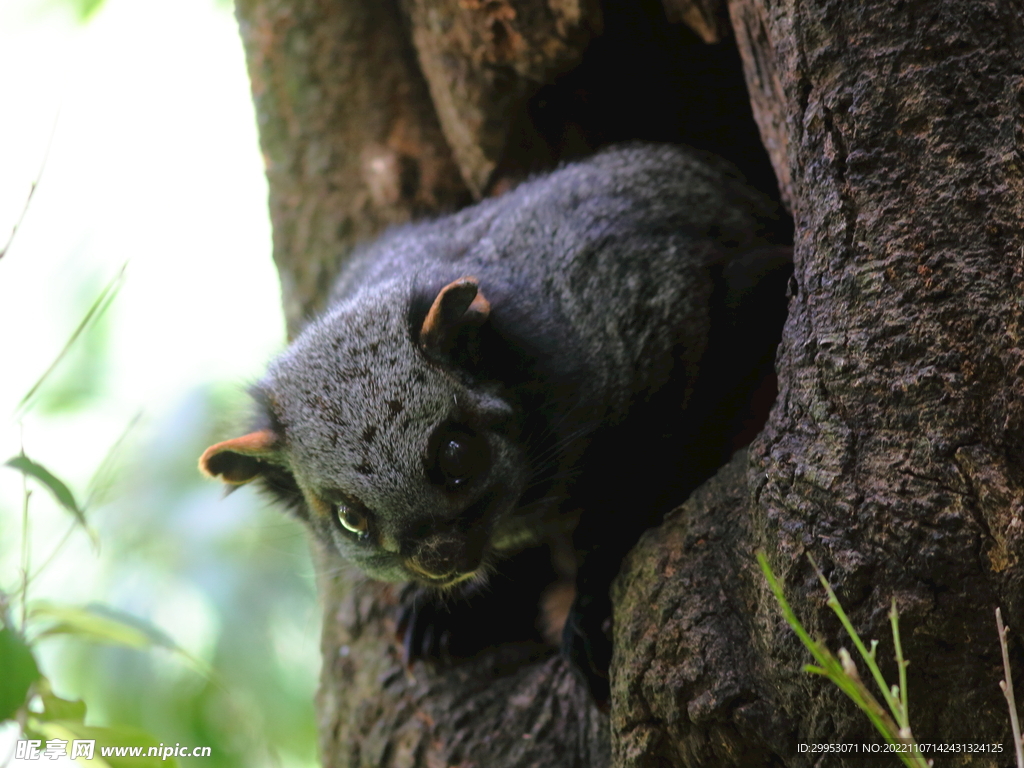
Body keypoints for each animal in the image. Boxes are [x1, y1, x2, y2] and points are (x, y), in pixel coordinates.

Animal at [199, 141, 790, 700]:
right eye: (349, 519)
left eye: (457, 455)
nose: (439, 559)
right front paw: (442, 611)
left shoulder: (654, 350)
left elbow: (624, 506)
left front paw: (589, 613)